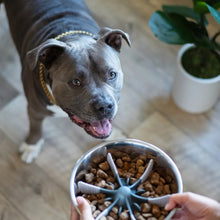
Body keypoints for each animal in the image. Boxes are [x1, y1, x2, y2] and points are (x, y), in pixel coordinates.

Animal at [2, 0, 131, 163]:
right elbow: (35, 128)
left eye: (112, 74)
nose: (105, 106)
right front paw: (31, 146)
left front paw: (114, 136)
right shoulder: (34, 110)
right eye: (75, 82)